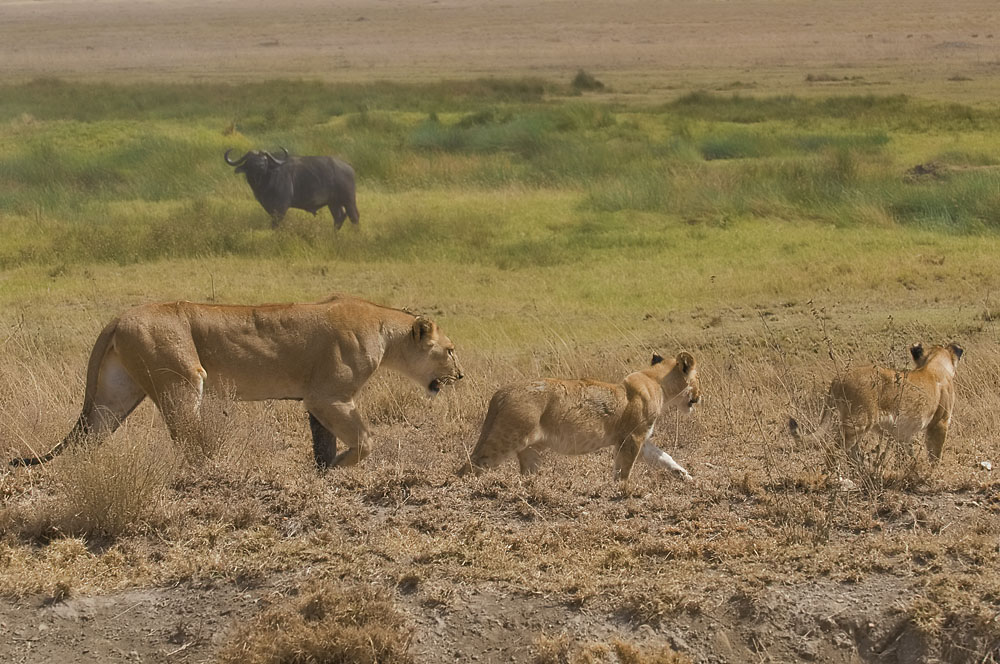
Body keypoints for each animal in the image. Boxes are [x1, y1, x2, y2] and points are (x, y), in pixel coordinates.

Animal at [224, 147, 360, 230]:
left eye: (265, 159)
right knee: (339, 217)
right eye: (251, 159)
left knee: (354, 217)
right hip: (333, 203)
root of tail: (349, 167)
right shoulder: (269, 207)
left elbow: (276, 224)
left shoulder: (281, 207)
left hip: (349, 200)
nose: (260, 166)